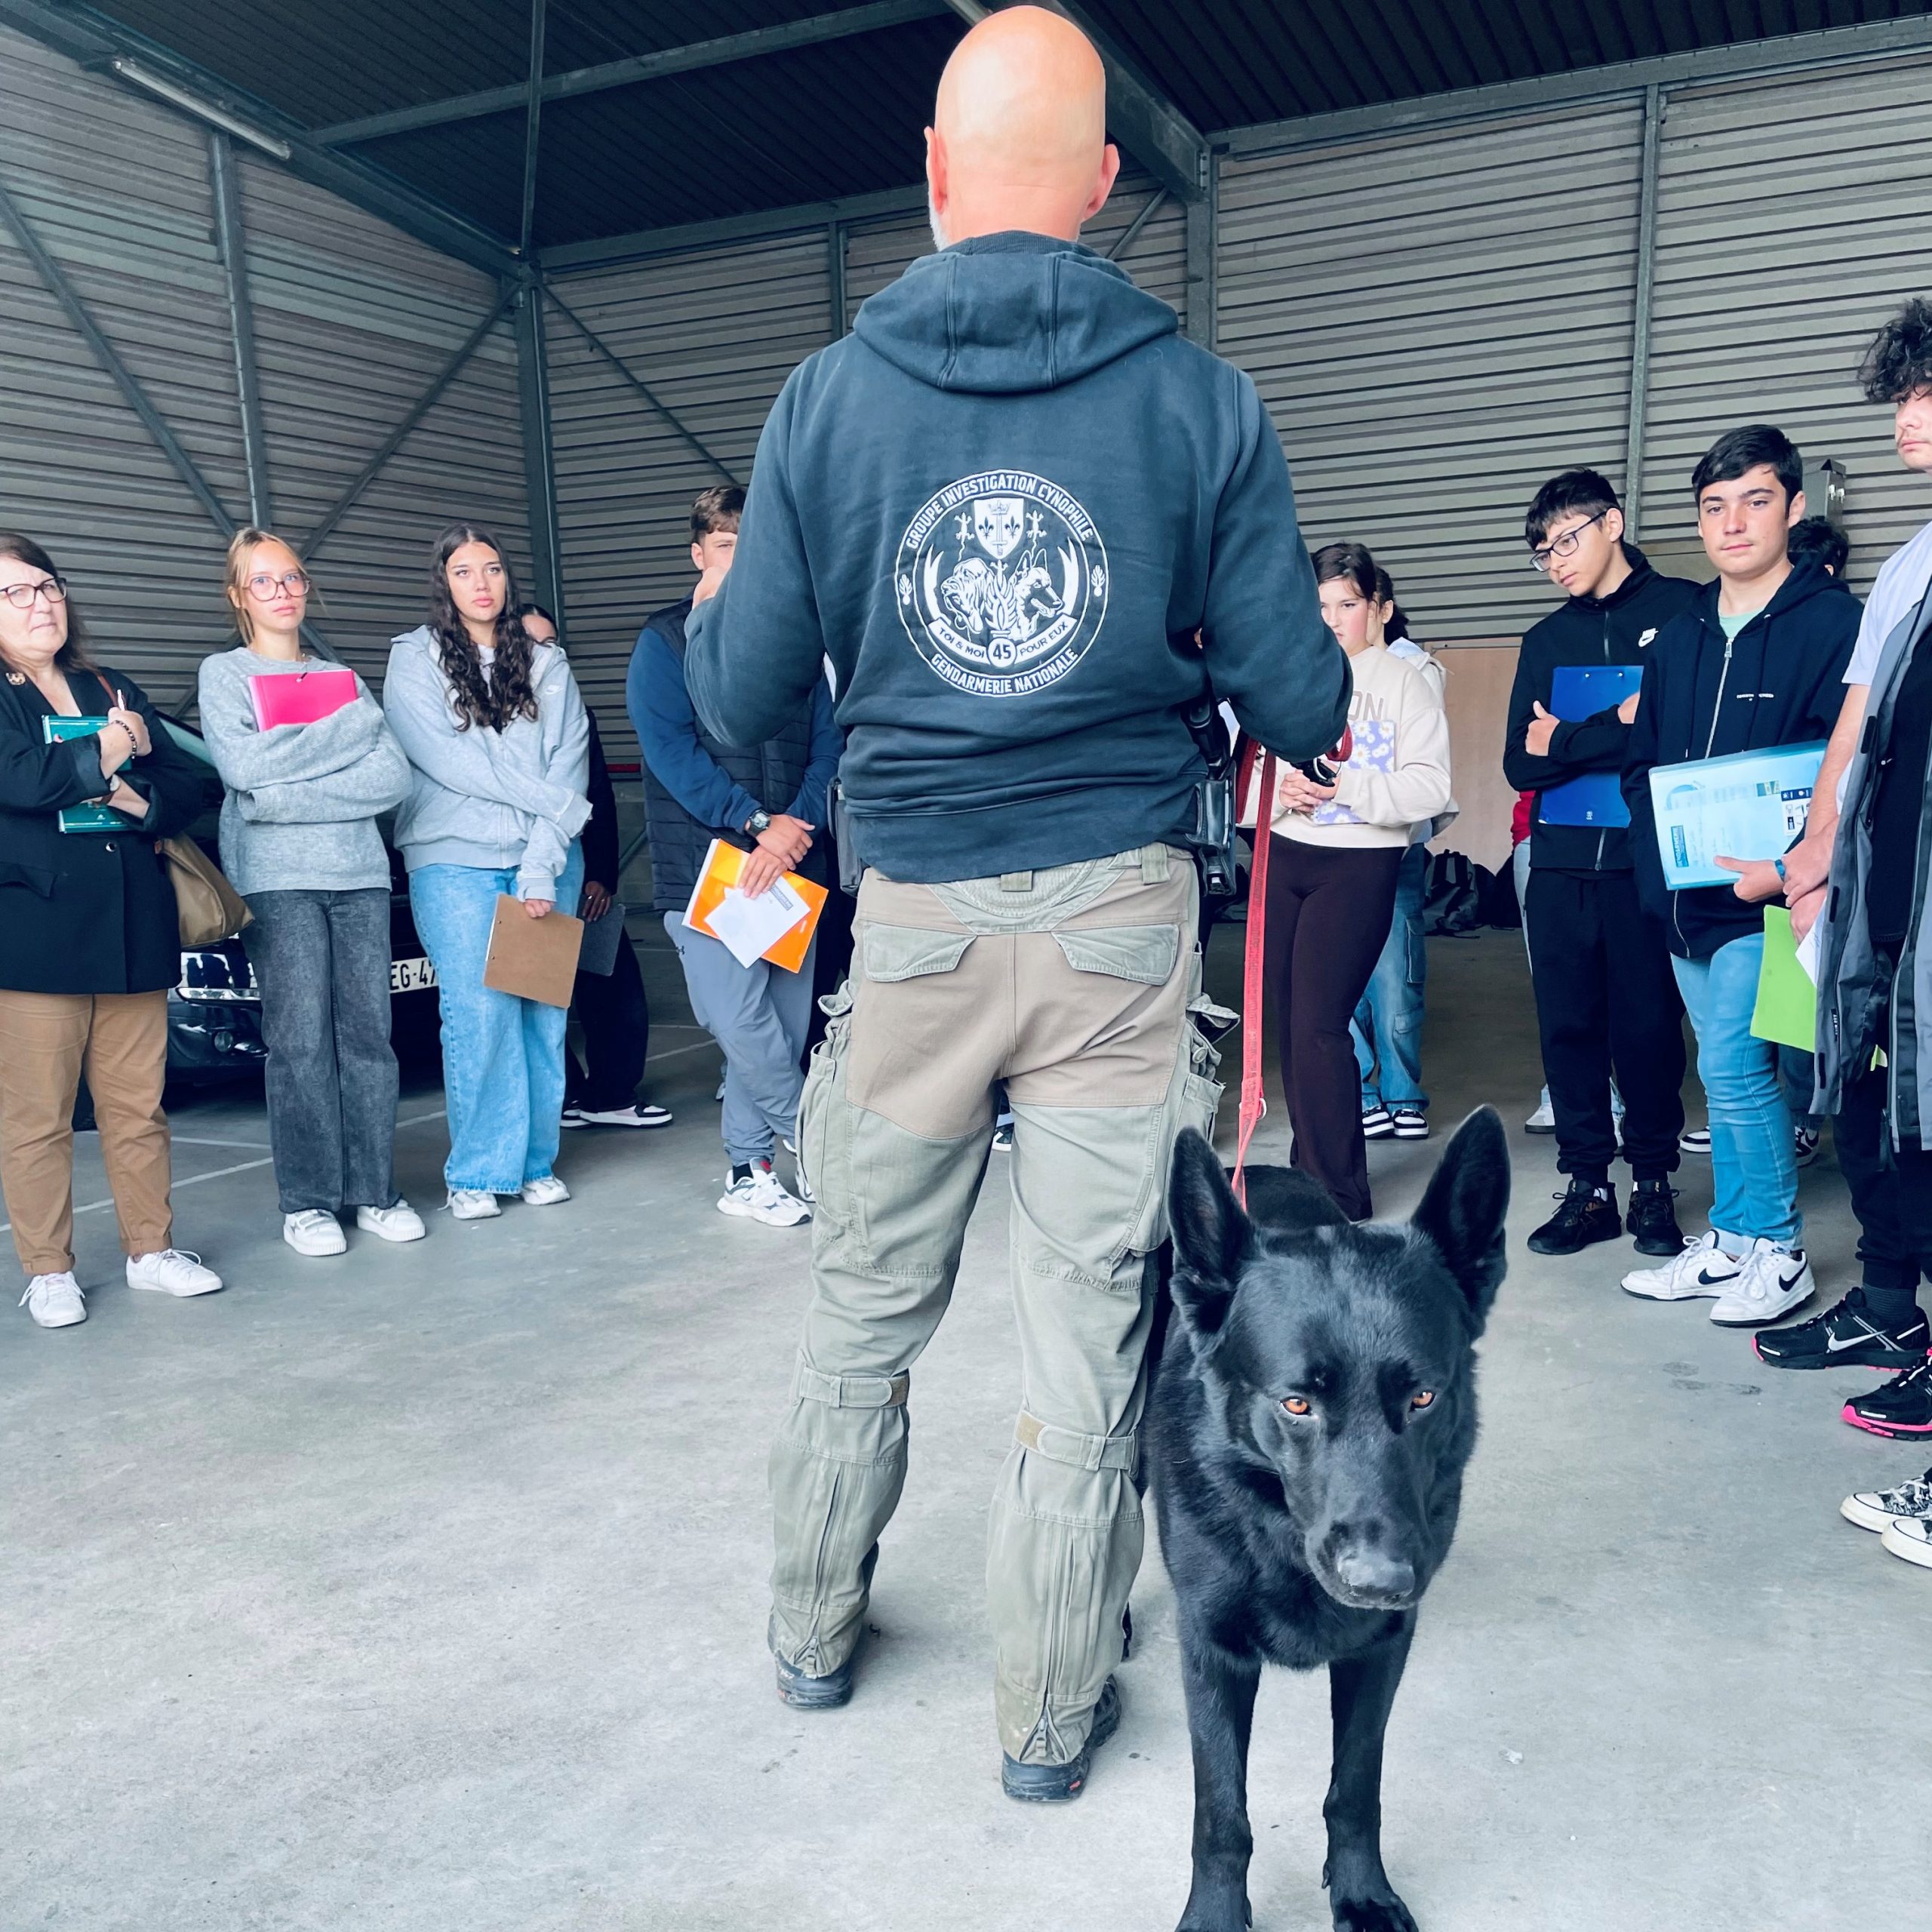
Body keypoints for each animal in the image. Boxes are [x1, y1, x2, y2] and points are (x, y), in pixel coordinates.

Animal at [1146, 1110, 1510, 1932]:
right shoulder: (1209, 1650)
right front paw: (1215, 1915)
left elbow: (1355, 1786)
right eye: (1296, 1403)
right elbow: (1221, 1815)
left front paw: (1361, 1892)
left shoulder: (1382, 1649)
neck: (1278, 1534)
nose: (1381, 1581)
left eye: (1423, 1397)